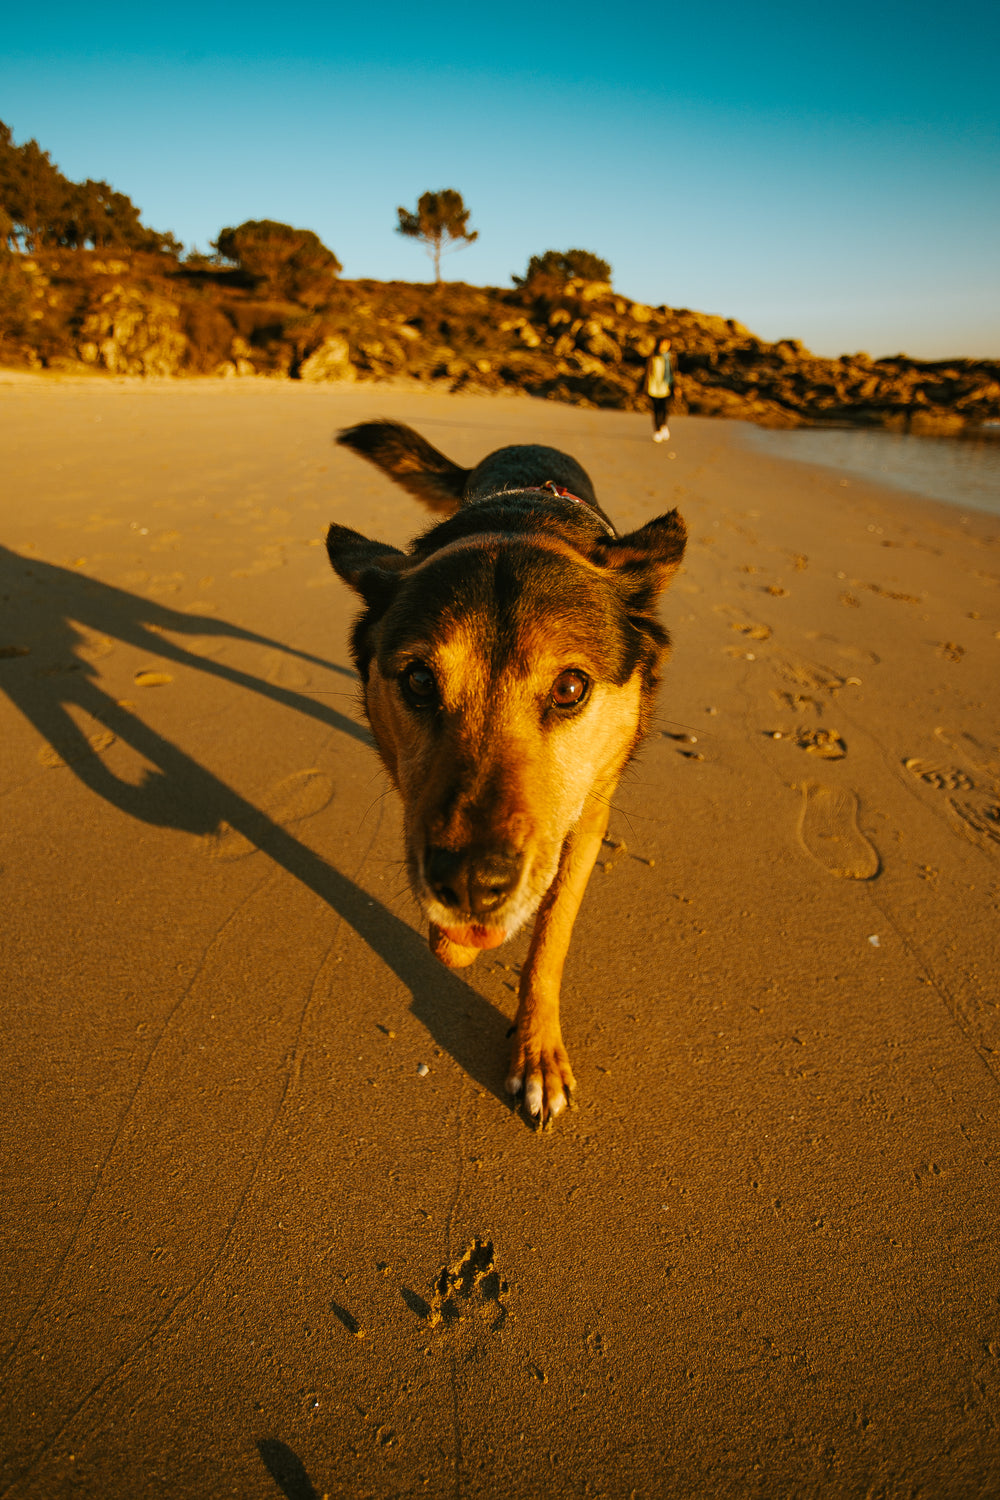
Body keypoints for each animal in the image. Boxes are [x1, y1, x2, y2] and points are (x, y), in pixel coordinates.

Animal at [328, 423, 689, 1128]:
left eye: (571, 688)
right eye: (418, 681)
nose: (470, 884)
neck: (523, 522)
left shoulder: (589, 817)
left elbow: (550, 936)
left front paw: (537, 1050)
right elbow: (451, 936)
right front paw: (460, 944)